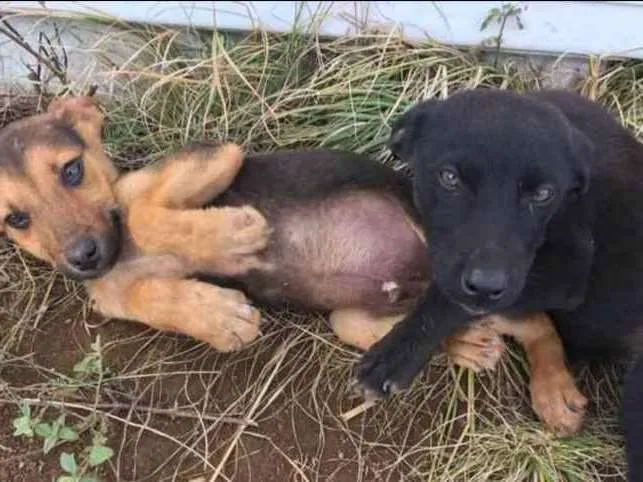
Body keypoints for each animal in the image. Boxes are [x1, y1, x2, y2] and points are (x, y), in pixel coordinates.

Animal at [360, 88, 643, 480]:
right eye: (449, 177)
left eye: (543, 194)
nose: (485, 285)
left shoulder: (567, 273)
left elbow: (446, 299)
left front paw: (397, 352)